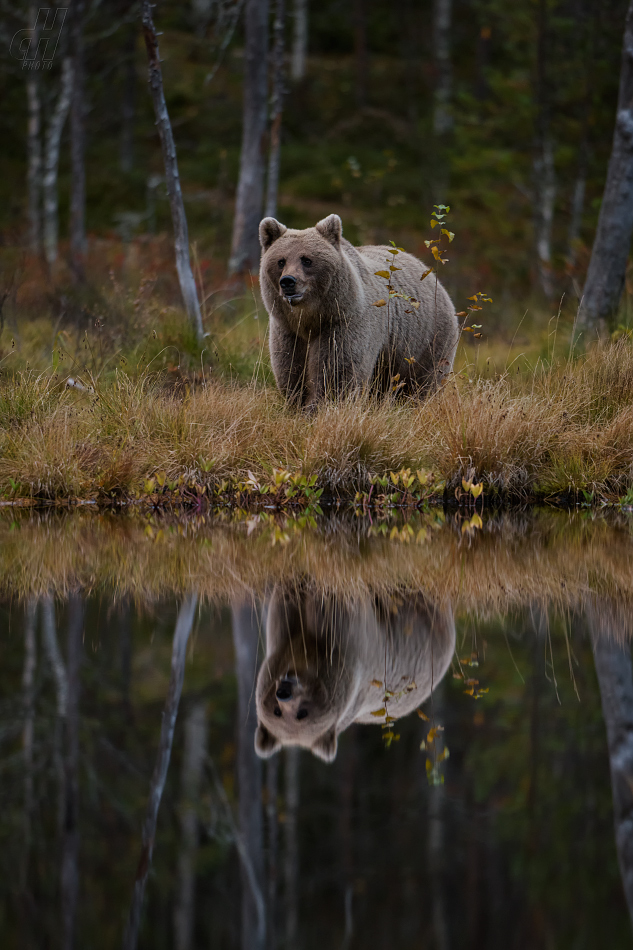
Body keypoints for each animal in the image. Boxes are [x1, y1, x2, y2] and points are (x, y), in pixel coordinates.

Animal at [258, 214, 460, 408]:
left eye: (307, 260)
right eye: (281, 261)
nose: (288, 281)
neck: (311, 318)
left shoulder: (343, 323)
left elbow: (337, 370)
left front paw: (319, 405)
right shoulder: (287, 329)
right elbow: (290, 368)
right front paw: (297, 403)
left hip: (427, 337)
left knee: (424, 380)